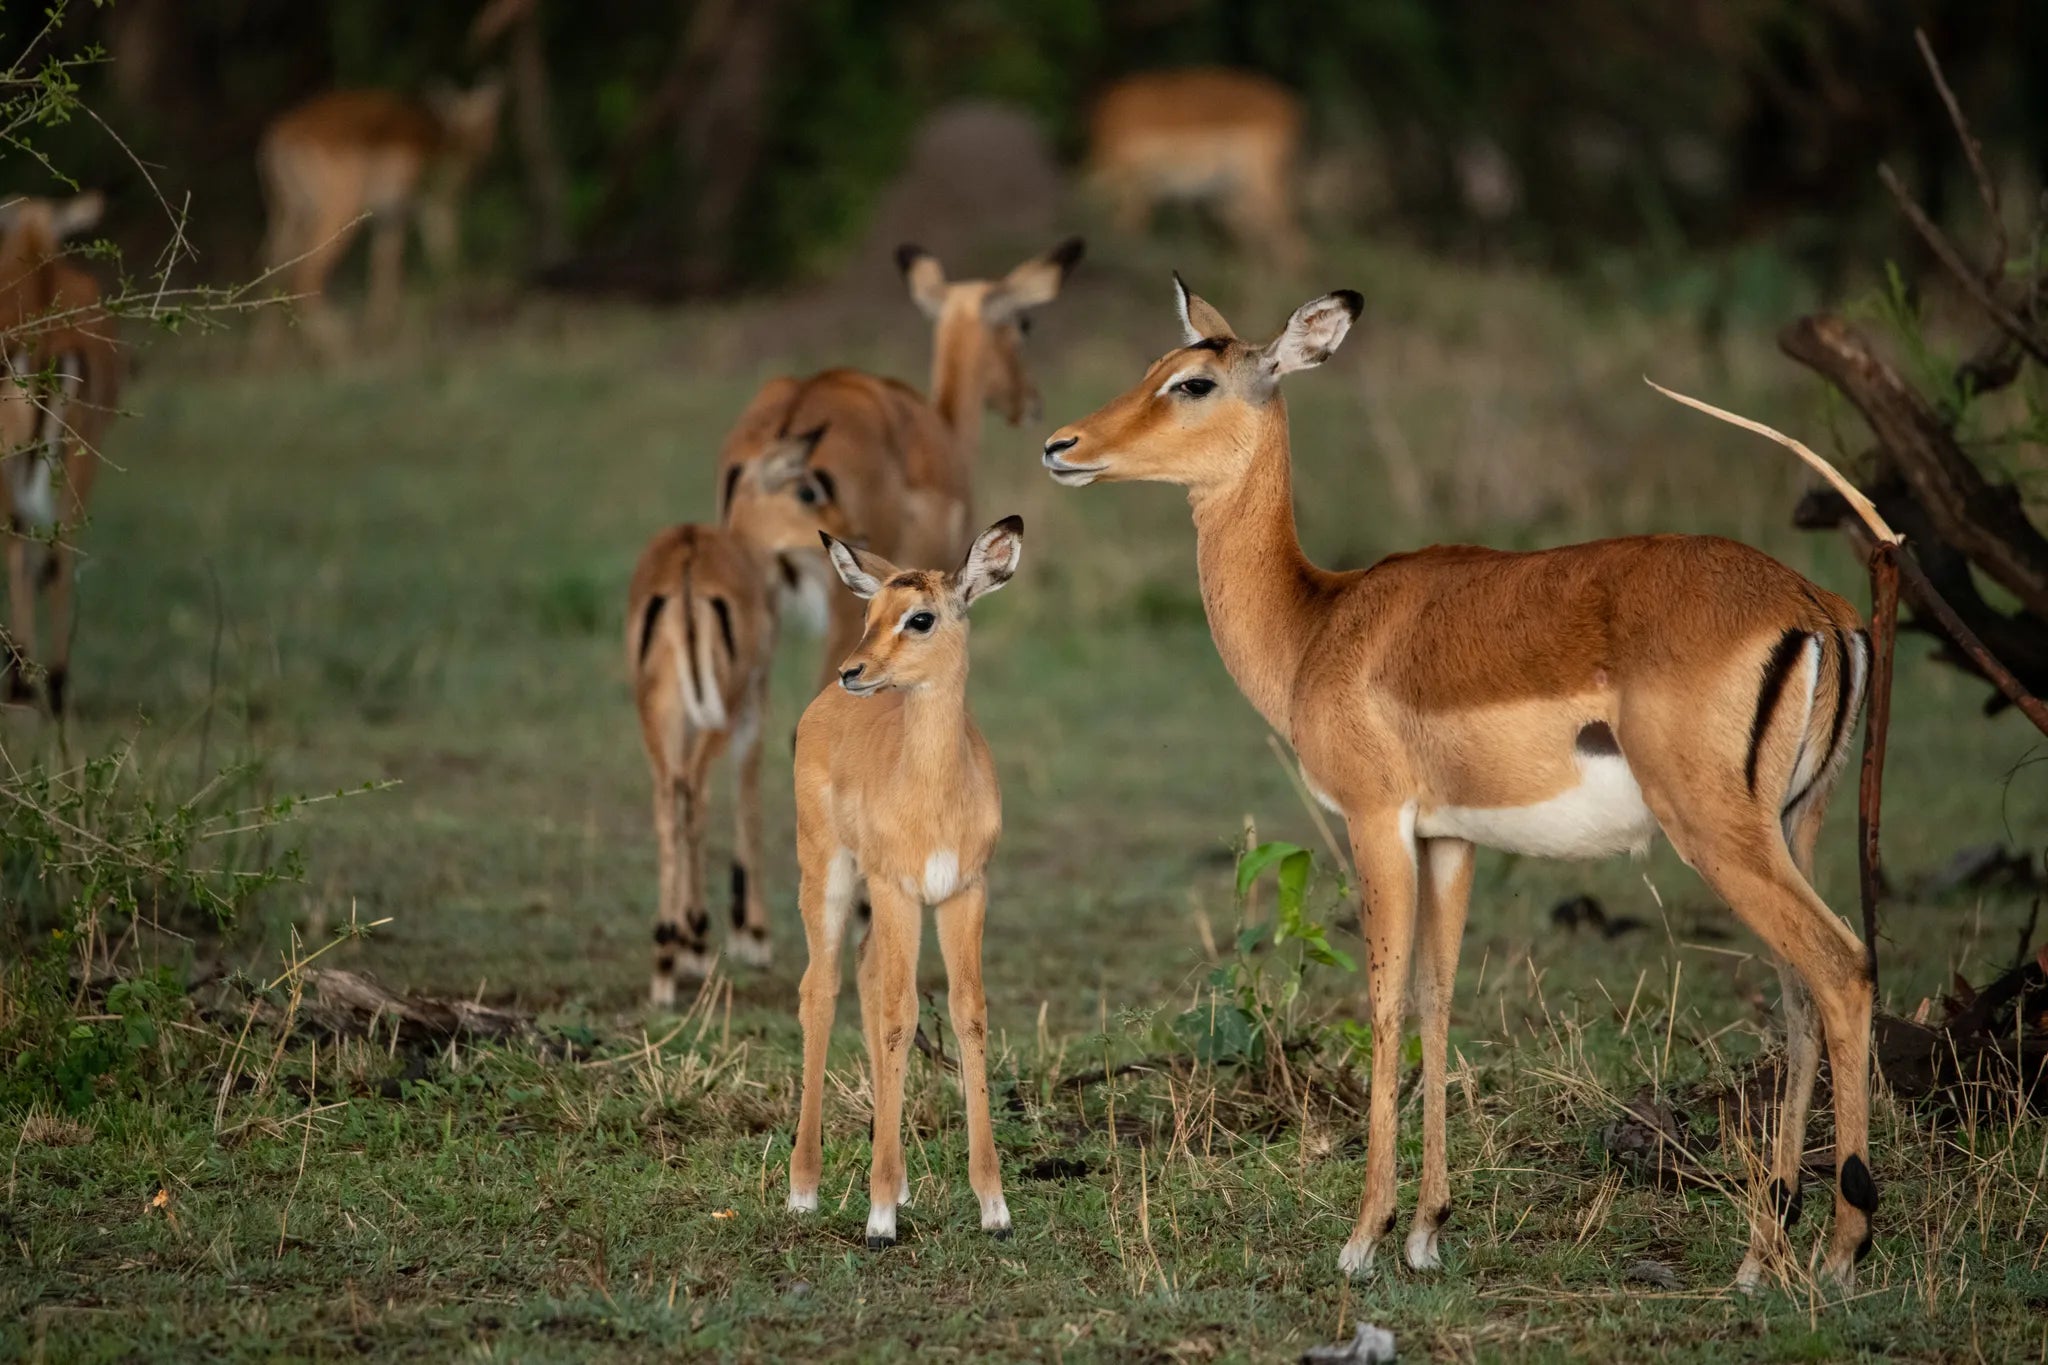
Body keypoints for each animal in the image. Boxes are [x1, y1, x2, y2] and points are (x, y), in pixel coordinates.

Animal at [257, 82, 504, 353]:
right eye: (486, 117)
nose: (486, 147)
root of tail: (279, 138)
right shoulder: (433, 209)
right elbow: (444, 254)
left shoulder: (389, 219)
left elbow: (383, 264)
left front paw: (380, 331)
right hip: (337, 210)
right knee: (304, 274)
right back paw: (341, 345)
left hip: (286, 213)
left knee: (273, 266)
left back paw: (265, 352)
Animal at [629, 430, 854, 1005]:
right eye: (807, 489)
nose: (849, 532)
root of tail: (687, 567)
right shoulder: (754, 704)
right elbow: (748, 789)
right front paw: (752, 937)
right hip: (718, 712)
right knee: (695, 791)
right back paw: (685, 947)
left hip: (658, 715)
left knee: (669, 798)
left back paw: (665, 956)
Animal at [788, 516, 1024, 1248]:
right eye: (871, 613)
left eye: (920, 616)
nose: (855, 670)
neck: (935, 792)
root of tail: (821, 705)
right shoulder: (897, 888)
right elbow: (899, 1016)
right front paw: (878, 1219)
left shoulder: (963, 892)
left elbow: (968, 1014)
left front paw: (994, 1206)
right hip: (828, 873)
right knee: (822, 988)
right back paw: (804, 1189)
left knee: (864, 977)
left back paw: (900, 1184)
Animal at [1040, 279, 1877, 1288]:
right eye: (1157, 366)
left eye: (1192, 382)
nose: (1062, 446)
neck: (1317, 623)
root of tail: (1817, 609)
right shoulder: (1450, 837)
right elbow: (1438, 1001)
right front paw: (1427, 1229)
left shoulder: (1375, 821)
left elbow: (1384, 1001)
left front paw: (1363, 1237)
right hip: (1793, 826)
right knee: (1800, 992)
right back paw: (1762, 1254)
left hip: (1719, 833)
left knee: (1842, 965)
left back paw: (1841, 1250)